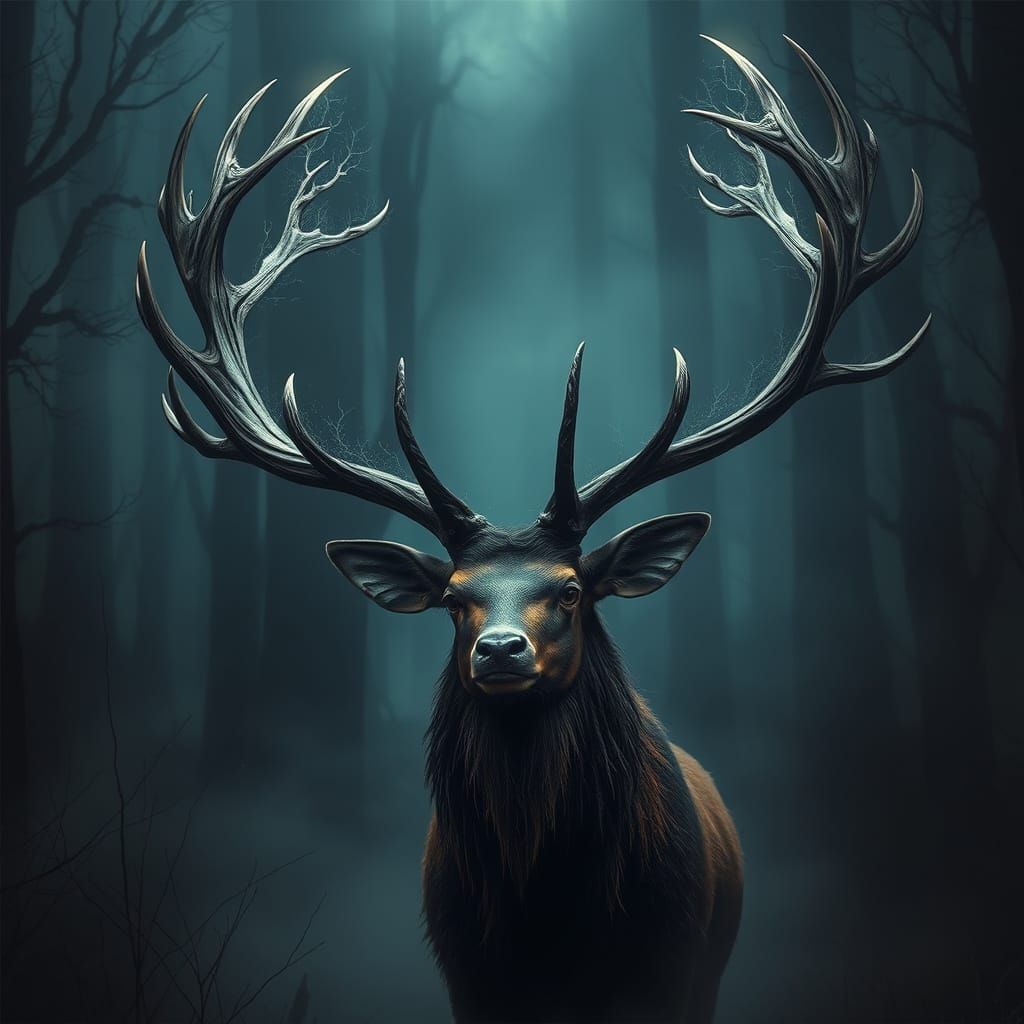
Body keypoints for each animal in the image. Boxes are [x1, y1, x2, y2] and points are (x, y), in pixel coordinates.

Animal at [136, 36, 927, 1024]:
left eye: (574, 591)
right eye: (452, 600)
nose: (502, 650)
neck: (550, 922)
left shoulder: (669, 968)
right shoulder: (470, 975)